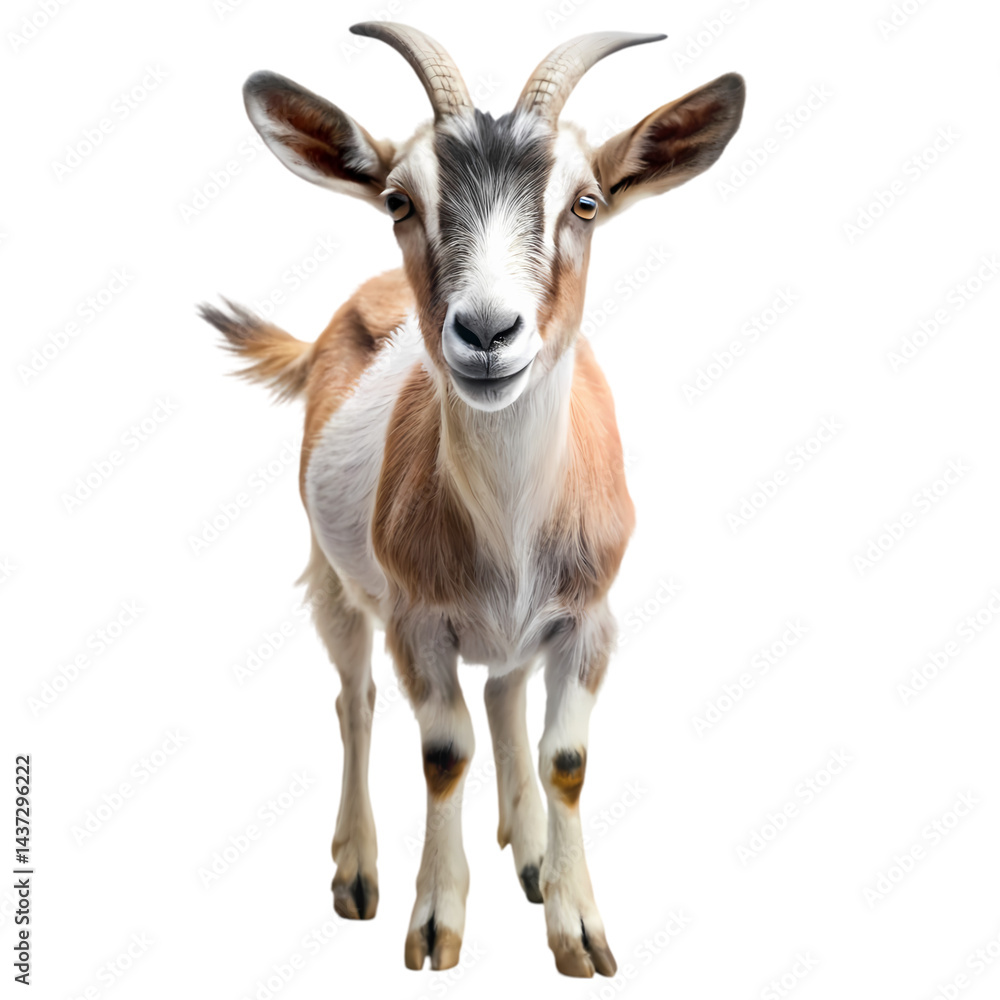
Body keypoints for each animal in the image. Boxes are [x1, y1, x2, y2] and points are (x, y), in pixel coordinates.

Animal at [200, 22, 744, 978]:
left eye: (587, 204)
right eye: (398, 202)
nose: (488, 332)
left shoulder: (589, 617)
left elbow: (565, 758)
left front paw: (576, 929)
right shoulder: (417, 622)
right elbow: (442, 751)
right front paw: (432, 926)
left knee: (502, 693)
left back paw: (527, 855)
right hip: (335, 581)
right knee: (355, 700)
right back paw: (357, 873)